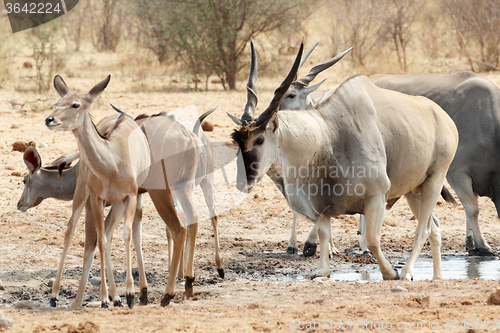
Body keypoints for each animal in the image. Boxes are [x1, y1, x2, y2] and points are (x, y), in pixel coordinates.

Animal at [228, 42, 458, 280]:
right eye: (236, 141)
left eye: (260, 139)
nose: (243, 182)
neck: (327, 136)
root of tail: (444, 117)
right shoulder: (320, 208)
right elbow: (324, 238)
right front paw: (321, 267)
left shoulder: (376, 196)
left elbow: (372, 241)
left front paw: (391, 272)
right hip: (413, 191)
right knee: (434, 226)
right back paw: (438, 277)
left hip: (434, 180)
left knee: (423, 229)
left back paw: (406, 272)